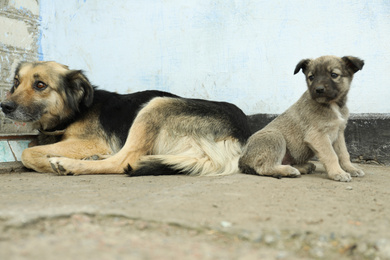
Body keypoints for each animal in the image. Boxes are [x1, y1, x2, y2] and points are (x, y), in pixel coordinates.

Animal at [1, 61, 251, 177]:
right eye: (16, 83)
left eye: (40, 85)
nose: (5, 106)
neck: (76, 110)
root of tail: (238, 135)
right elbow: (32, 146)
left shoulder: (92, 141)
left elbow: (28, 153)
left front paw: (49, 161)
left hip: (155, 105)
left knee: (122, 160)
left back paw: (68, 164)